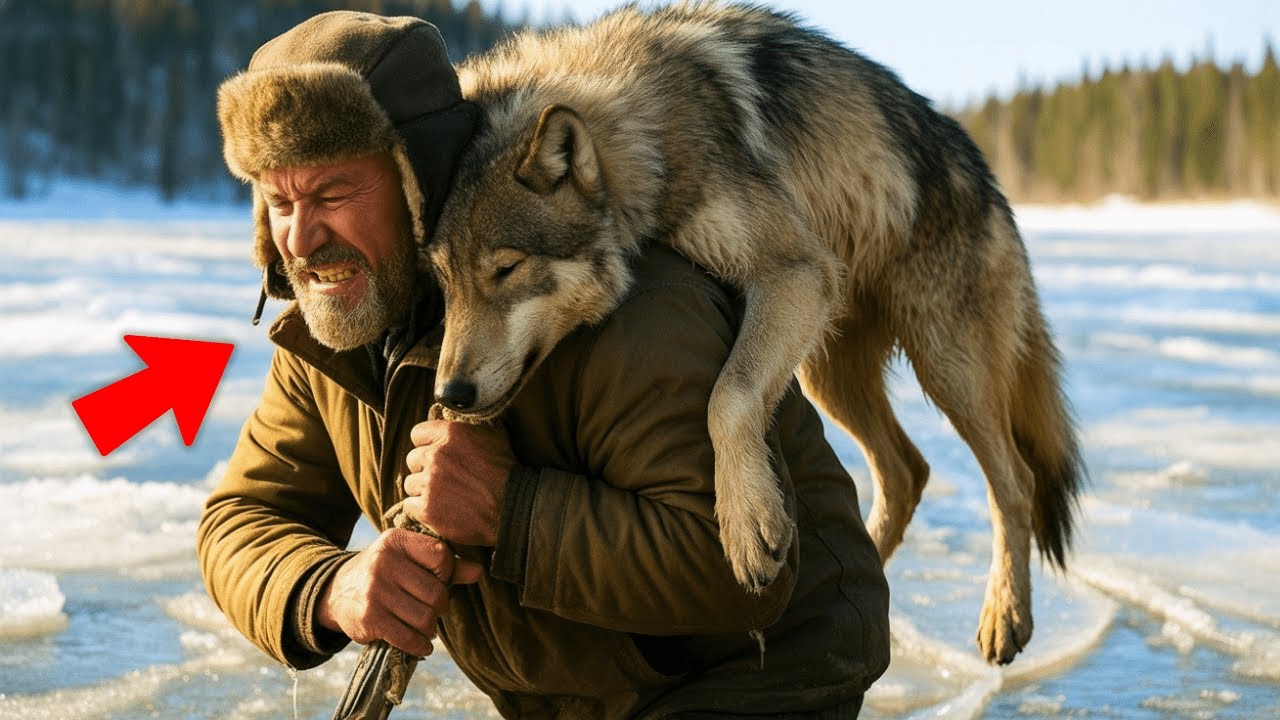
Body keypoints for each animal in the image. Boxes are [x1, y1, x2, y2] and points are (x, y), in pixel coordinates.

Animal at [425, 1, 1084, 665]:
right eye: (444, 280)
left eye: (506, 270)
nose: (449, 393)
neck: (649, 133)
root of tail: (985, 171)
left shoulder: (794, 272)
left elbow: (729, 395)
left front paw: (746, 523)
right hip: (830, 373)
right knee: (908, 471)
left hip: (945, 365)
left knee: (1015, 484)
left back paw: (1005, 615)